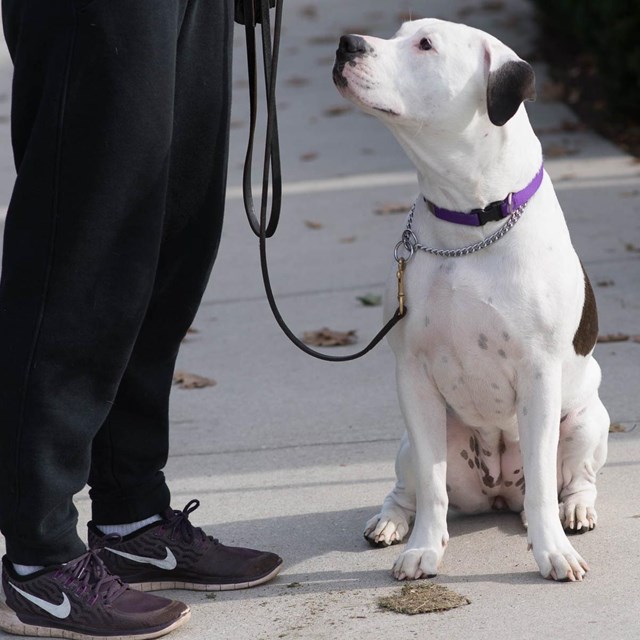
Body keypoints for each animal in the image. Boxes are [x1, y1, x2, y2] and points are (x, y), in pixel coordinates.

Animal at [332, 20, 608, 584]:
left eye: (425, 45)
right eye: (399, 32)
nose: (347, 44)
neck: (469, 218)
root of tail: (498, 495)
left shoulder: (539, 375)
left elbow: (544, 483)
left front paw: (552, 551)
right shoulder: (413, 376)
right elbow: (432, 488)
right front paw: (423, 548)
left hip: (588, 420)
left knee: (574, 477)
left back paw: (574, 509)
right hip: (413, 441)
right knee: (408, 488)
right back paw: (391, 520)